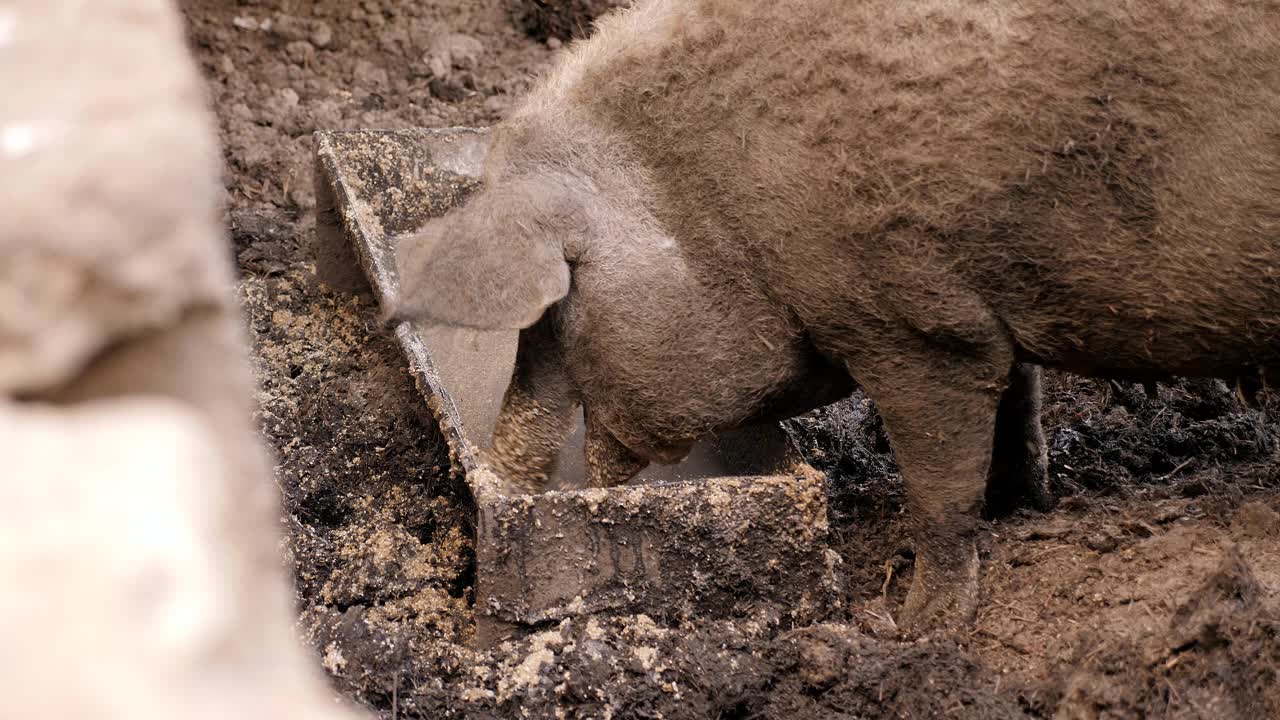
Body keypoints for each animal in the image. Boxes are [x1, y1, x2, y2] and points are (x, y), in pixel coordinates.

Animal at [389, 0, 1280, 630]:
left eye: (556, 313)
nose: (502, 487)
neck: (723, 195)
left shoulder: (917, 326)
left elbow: (941, 487)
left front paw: (911, 628)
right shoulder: (986, 308)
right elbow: (1019, 409)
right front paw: (1025, 508)